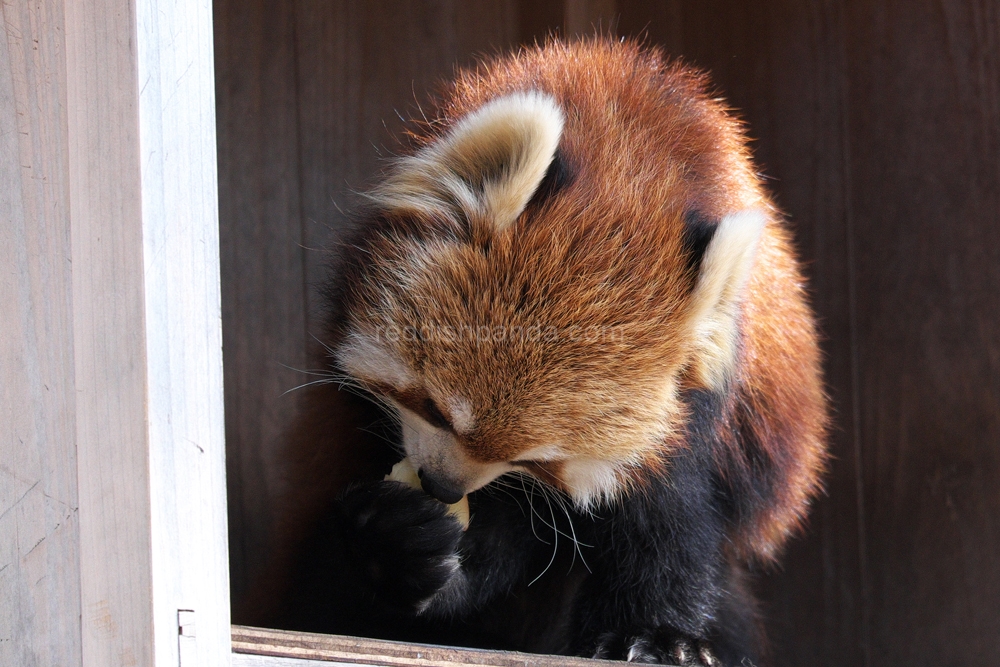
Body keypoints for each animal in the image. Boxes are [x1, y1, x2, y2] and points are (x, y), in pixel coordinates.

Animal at [264, 39, 828, 667]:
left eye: (538, 461)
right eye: (433, 408)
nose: (443, 487)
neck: (633, 158)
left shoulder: (693, 409)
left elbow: (661, 520)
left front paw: (654, 636)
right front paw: (399, 547)